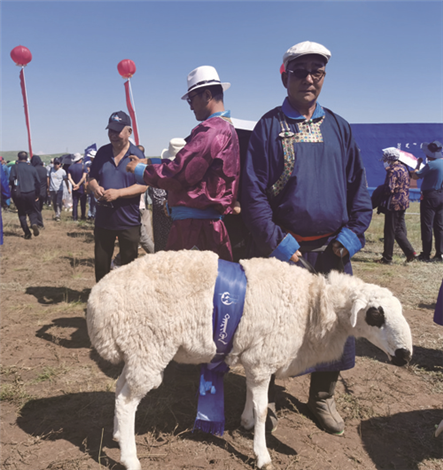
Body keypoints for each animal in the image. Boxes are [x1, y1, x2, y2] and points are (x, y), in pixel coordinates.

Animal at [87, 248, 416, 468]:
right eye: (376, 315)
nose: (405, 355)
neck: (311, 306)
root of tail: (97, 300)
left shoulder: (255, 356)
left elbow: (252, 395)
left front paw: (245, 422)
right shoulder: (262, 359)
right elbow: (261, 410)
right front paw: (262, 454)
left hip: (135, 350)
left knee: (119, 390)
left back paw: (118, 436)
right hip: (149, 348)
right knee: (126, 402)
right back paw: (130, 458)